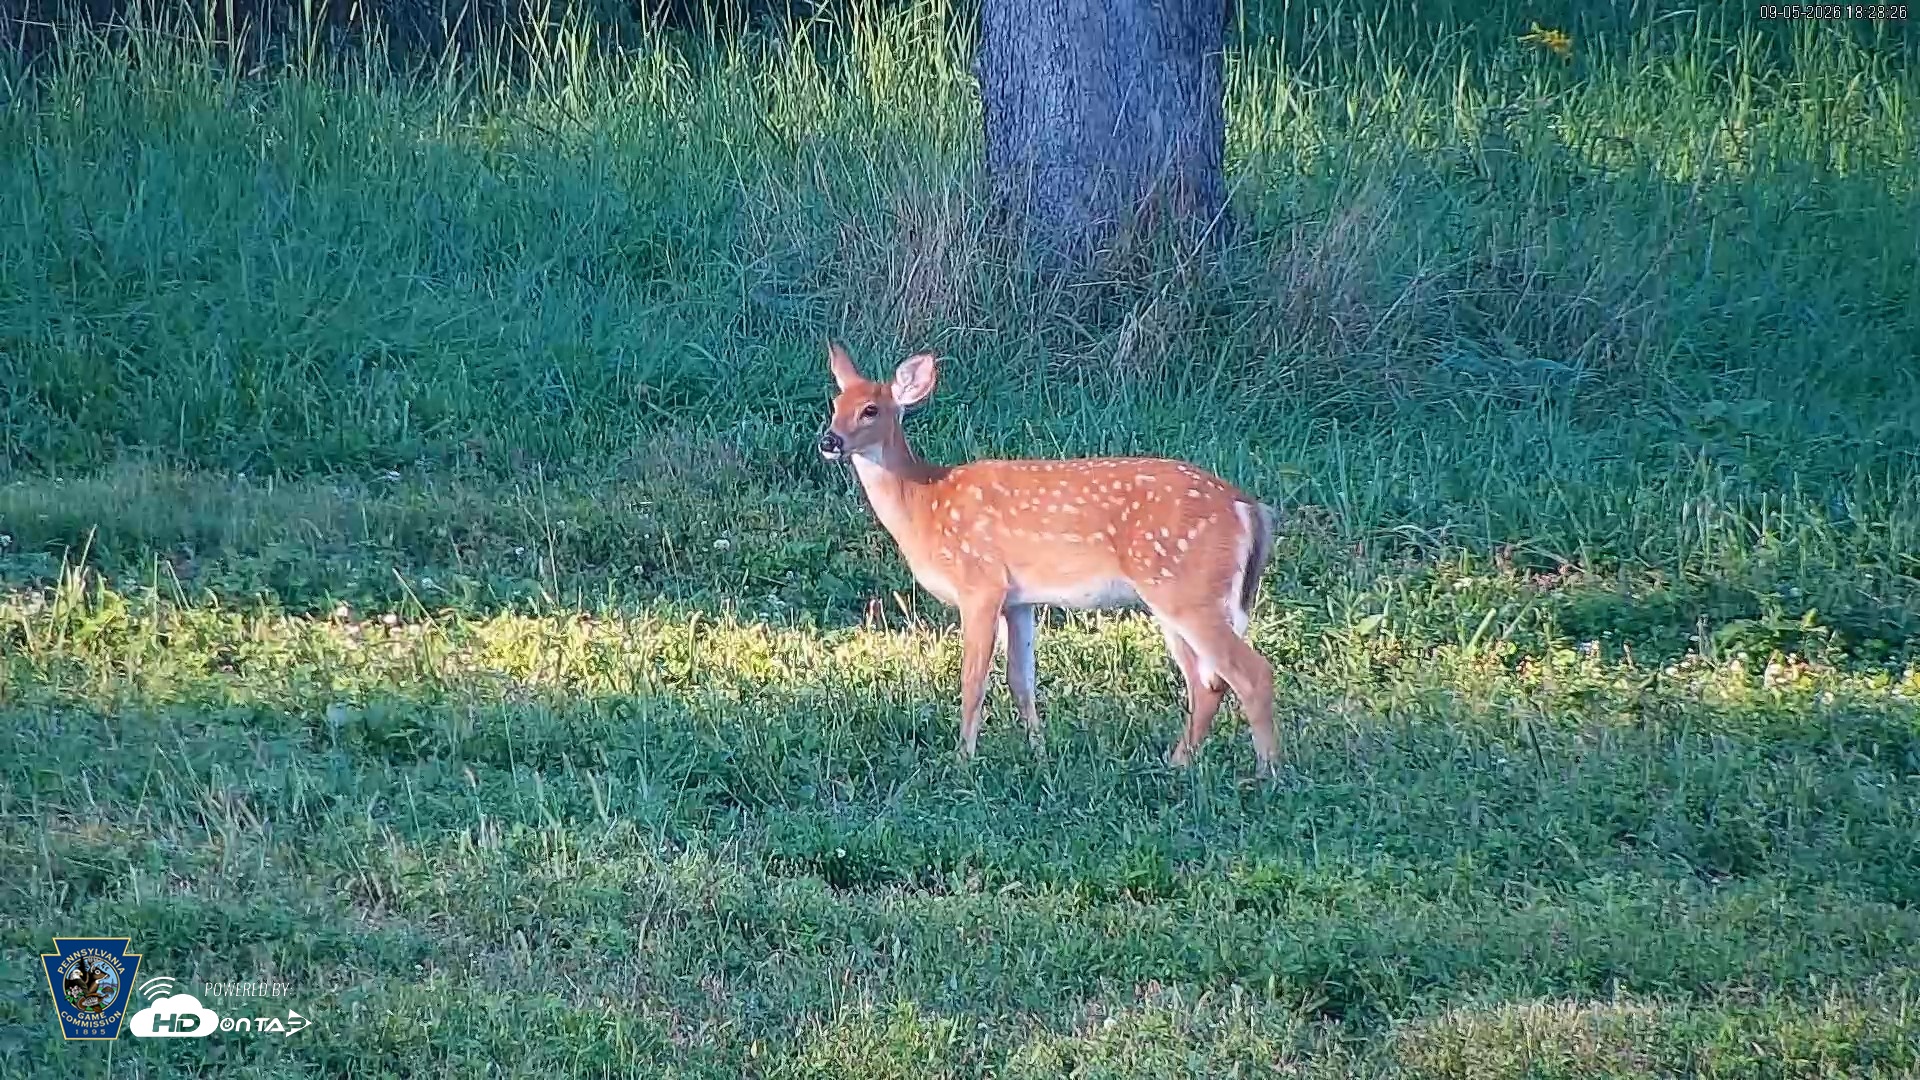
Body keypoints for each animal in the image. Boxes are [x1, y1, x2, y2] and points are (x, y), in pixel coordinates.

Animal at [818, 342, 1282, 775]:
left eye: (871, 410)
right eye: (835, 405)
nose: (829, 441)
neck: (924, 502)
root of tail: (1248, 507)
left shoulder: (980, 582)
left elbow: (973, 678)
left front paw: (963, 759)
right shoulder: (1018, 600)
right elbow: (1021, 680)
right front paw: (1039, 752)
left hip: (1186, 589)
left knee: (1250, 674)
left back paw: (1266, 775)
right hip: (1177, 596)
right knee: (1207, 683)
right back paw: (1177, 763)